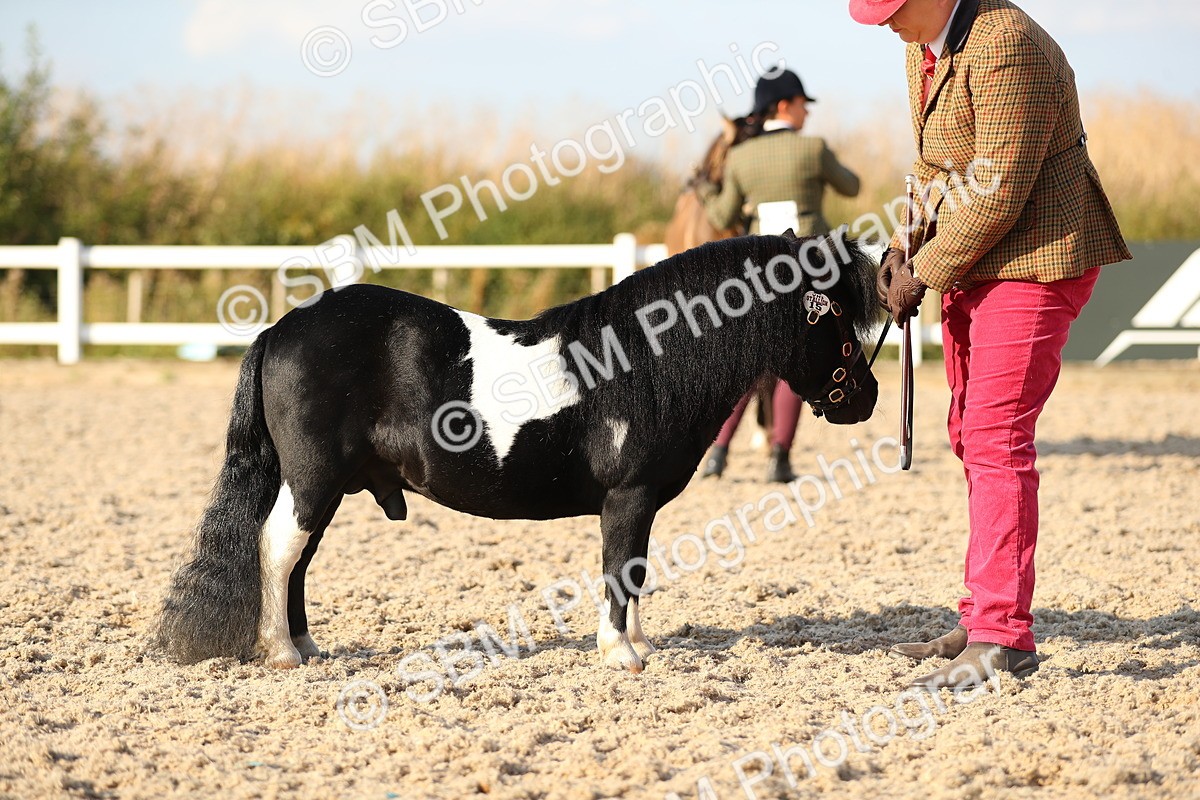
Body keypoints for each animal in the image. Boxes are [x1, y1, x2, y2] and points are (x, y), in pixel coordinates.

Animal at [155, 229, 881, 674]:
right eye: (837, 313)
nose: (868, 396)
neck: (646, 361)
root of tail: (282, 328)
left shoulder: (640, 503)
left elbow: (636, 570)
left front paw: (638, 643)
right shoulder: (628, 497)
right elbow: (621, 569)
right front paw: (621, 654)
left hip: (323, 486)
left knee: (296, 558)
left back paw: (306, 646)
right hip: (312, 478)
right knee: (280, 548)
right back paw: (281, 653)